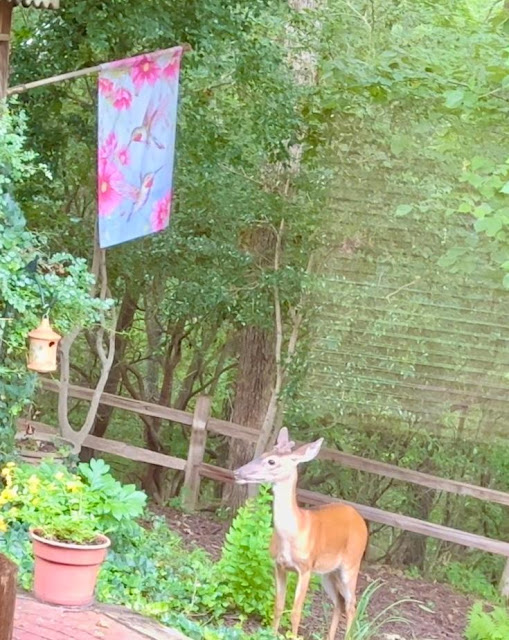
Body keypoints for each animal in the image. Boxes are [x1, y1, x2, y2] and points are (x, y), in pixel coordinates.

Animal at [233, 428, 368, 640]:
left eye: (271, 461)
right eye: (264, 454)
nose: (237, 472)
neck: (293, 533)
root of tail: (360, 519)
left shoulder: (305, 568)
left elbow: (296, 612)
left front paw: (291, 635)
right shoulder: (279, 565)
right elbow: (278, 606)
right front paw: (271, 634)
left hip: (351, 564)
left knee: (351, 604)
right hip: (327, 573)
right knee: (338, 602)